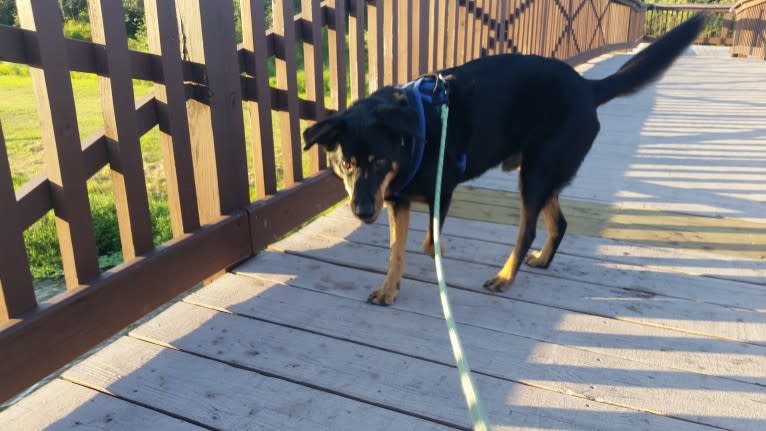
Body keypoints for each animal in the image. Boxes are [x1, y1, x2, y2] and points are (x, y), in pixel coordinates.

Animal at [304, 16, 704, 306]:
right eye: (346, 164)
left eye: (379, 162)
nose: (362, 211)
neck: (414, 133)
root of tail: (587, 87)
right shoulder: (397, 202)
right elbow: (395, 252)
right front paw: (390, 289)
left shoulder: (441, 193)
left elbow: (430, 243)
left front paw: (436, 259)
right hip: (542, 174)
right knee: (559, 223)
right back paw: (542, 260)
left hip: (537, 174)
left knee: (527, 231)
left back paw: (506, 277)